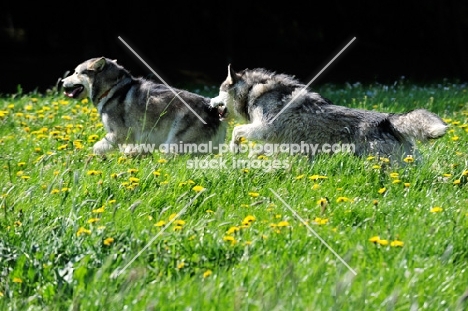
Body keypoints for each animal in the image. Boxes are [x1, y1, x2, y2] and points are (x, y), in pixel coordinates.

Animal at [61, 57, 226, 155]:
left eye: (76, 72)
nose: (62, 81)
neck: (113, 88)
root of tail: (212, 108)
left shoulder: (118, 134)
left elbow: (97, 147)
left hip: (173, 145)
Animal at [210, 64, 448, 160]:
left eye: (219, 90)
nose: (210, 102)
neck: (253, 91)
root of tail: (387, 119)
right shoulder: (275, 140)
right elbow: (260, 149)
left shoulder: (264, 129)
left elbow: (237, 131)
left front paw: (234, 150)